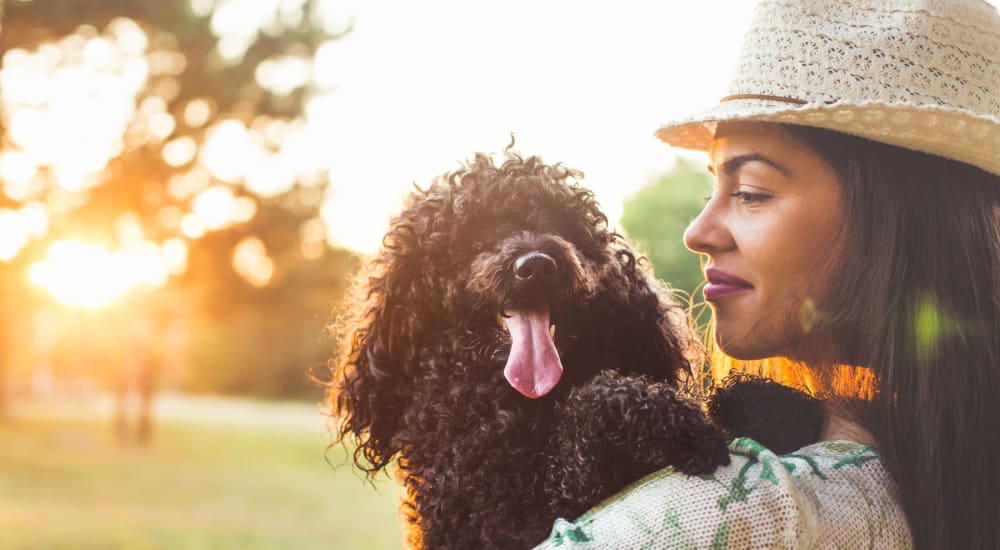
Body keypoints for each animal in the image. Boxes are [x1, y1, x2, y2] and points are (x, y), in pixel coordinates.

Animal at [328, 149, 820, 548]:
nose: (536, 264)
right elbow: (597, 402)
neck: (515, 402)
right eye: (475, 237)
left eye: (559, 226)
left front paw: (776, 403)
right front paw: (681, 425)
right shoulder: (506, 519)